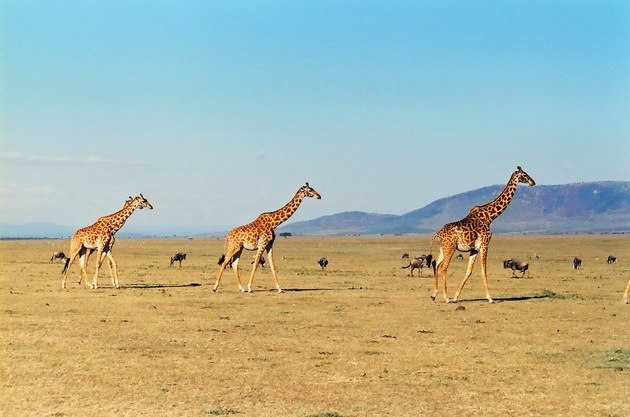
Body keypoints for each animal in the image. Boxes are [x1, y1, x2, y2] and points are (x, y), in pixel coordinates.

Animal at [432, 166, 536, 302]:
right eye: (524, 174)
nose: (533, 182)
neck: (490, 217)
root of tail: (438, 233)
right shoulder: (485, 244)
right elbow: (484, 270)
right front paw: (490, 298)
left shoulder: (474, 249)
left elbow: (469, 271)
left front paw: (456, 297)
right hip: (450, 247)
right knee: (443, 267)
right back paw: (446, 298)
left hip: (443, 248)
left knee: (436, 263)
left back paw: (434, 295)